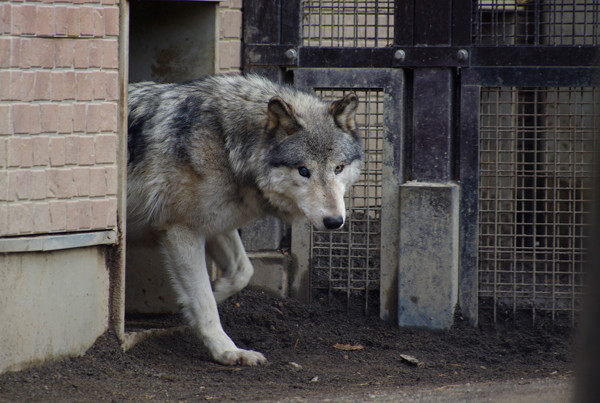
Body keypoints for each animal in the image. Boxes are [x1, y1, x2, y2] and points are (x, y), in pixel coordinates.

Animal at [125, 75, 360, 366]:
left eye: (338, 168)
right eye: (304, 171)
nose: (334, 221)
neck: (226, 144)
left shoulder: (215, 224)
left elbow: (242, 271)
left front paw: (215, 292)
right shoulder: (181, 229)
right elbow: (203, 301)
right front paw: (228, 351)